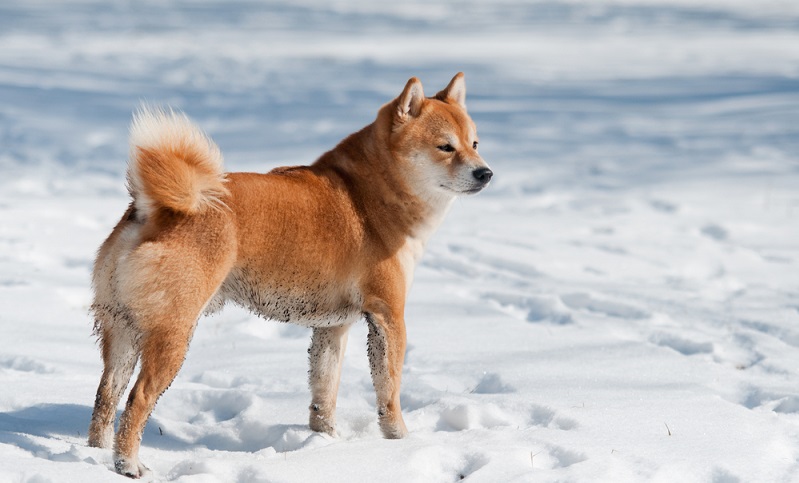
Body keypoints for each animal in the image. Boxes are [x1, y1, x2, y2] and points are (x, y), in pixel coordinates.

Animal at [84, 73, 490, 478]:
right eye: (445, 147)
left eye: (474, 143)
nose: (485, 173)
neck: (371, 195)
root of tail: (150, 209)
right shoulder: (389, 317)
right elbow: (389, 393)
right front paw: (400, 442)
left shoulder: (333, 327)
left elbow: (324, 393)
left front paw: (325, 441)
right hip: (174, 334)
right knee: (137, 399)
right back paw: (128, 464)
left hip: (122, 331)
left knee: (106, 396)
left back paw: (95, 454)